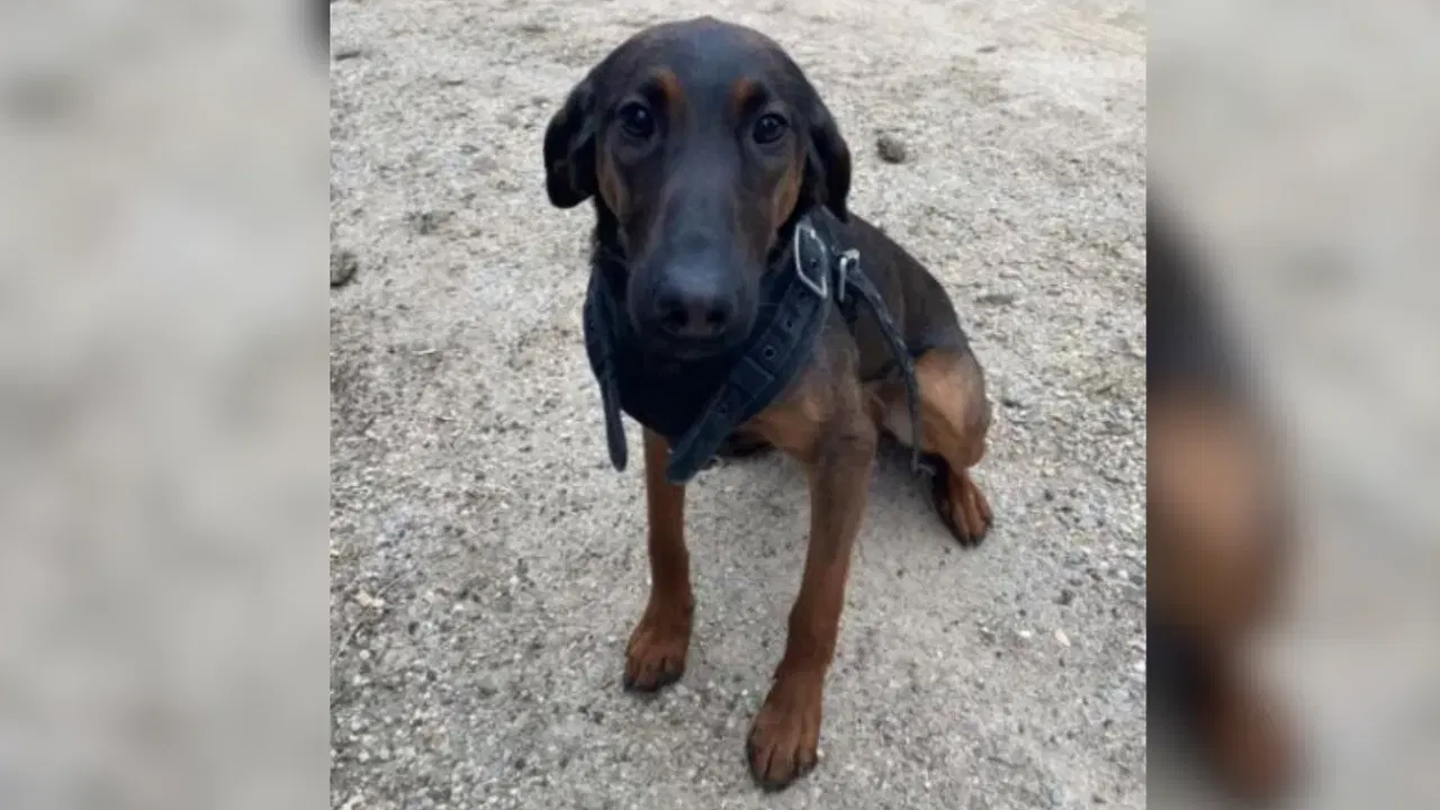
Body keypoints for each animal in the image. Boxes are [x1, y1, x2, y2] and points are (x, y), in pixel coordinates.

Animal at [541, 17, 990, 789]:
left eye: (771, 128)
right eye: (636, 119)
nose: (693, 307)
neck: (706, 367)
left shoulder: (845, 452)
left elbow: (816, 605)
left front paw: (789, 721)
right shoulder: (660, 428)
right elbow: (666, 544)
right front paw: (663, 634)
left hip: (939, 394)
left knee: (945, 446)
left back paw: (961, 496)